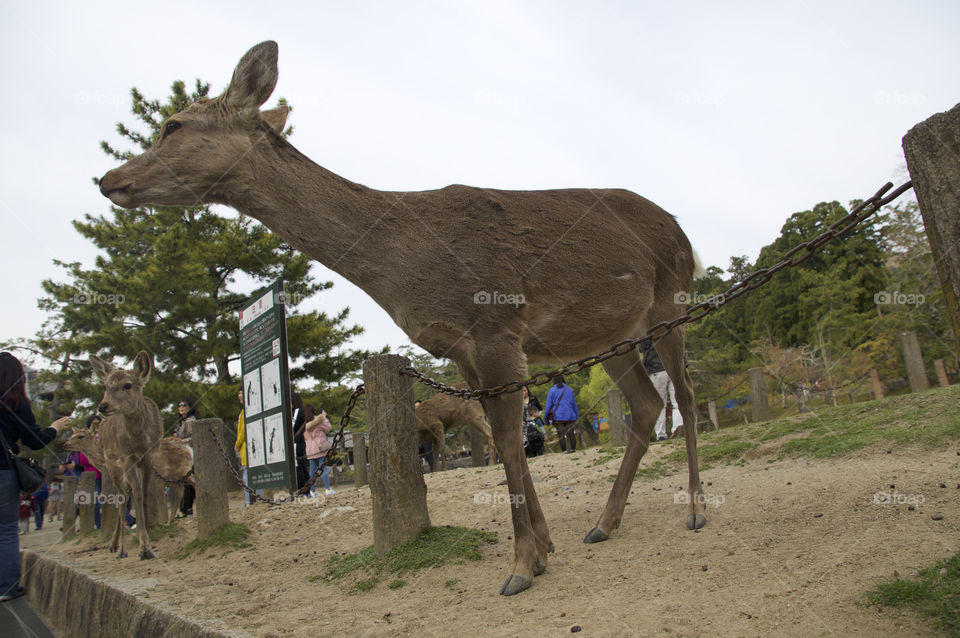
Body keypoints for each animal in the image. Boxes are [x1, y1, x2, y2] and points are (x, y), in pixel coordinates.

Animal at [88, 351, 163, 559]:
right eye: (105, 386)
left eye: (127, 385)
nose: (103, 406)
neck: (139, 442)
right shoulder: (127, 458)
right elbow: (135, 494)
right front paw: (144, 547)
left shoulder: (149, 457)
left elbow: (144, 493)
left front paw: (148, 539)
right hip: (112, 465)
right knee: (121, 498)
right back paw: (119, 548)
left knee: (126, 495)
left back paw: (116, 543)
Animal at [98, 41, 706, 595]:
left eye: (172, 125)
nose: (106, 179)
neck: (402, 260)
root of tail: (684, 233)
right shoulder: (464, 347)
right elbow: (502, 435)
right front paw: (544, 549)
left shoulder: (496, 326)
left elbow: (510, 440)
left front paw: (519, 567)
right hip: (613, 334)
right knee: (647, 405)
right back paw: (603, 523)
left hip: (670, 301)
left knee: (683, 393)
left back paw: (696, 509)